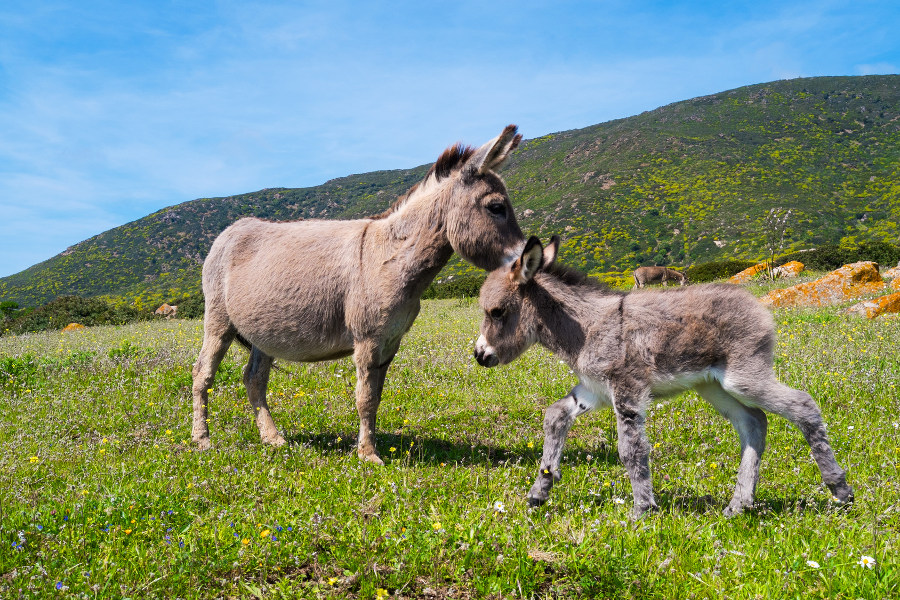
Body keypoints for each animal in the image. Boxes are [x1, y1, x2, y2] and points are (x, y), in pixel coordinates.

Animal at [474, 237, 856, 516]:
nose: (479, 356)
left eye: (497, 312)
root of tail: (755, 303)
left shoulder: (627, 390)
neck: (584, 327)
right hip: (712, 386)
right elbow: (554, 416)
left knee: (802, 405)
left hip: (743, 376)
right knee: (754, 422)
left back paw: (840, 490)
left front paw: (642, 511)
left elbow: (631, 449)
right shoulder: (594, 390)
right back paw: (738, 505)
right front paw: (540, 491)